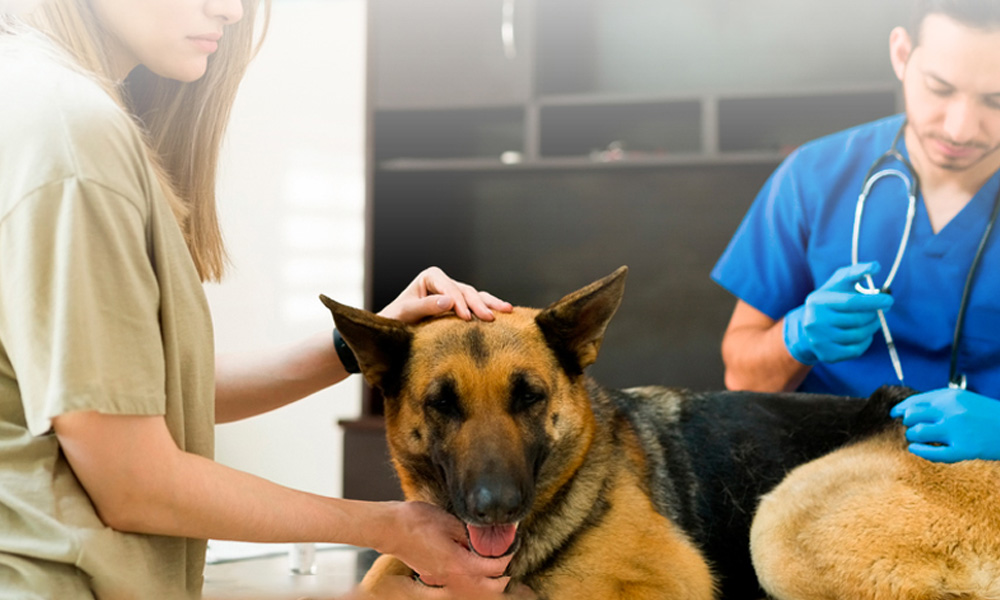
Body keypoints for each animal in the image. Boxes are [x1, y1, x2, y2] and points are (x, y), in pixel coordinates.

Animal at [320, 268, 1000, 600]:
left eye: (529, 397)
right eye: (441, 404)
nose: (495, 506)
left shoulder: (670, 584)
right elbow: (378, 576)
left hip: (779, 523)